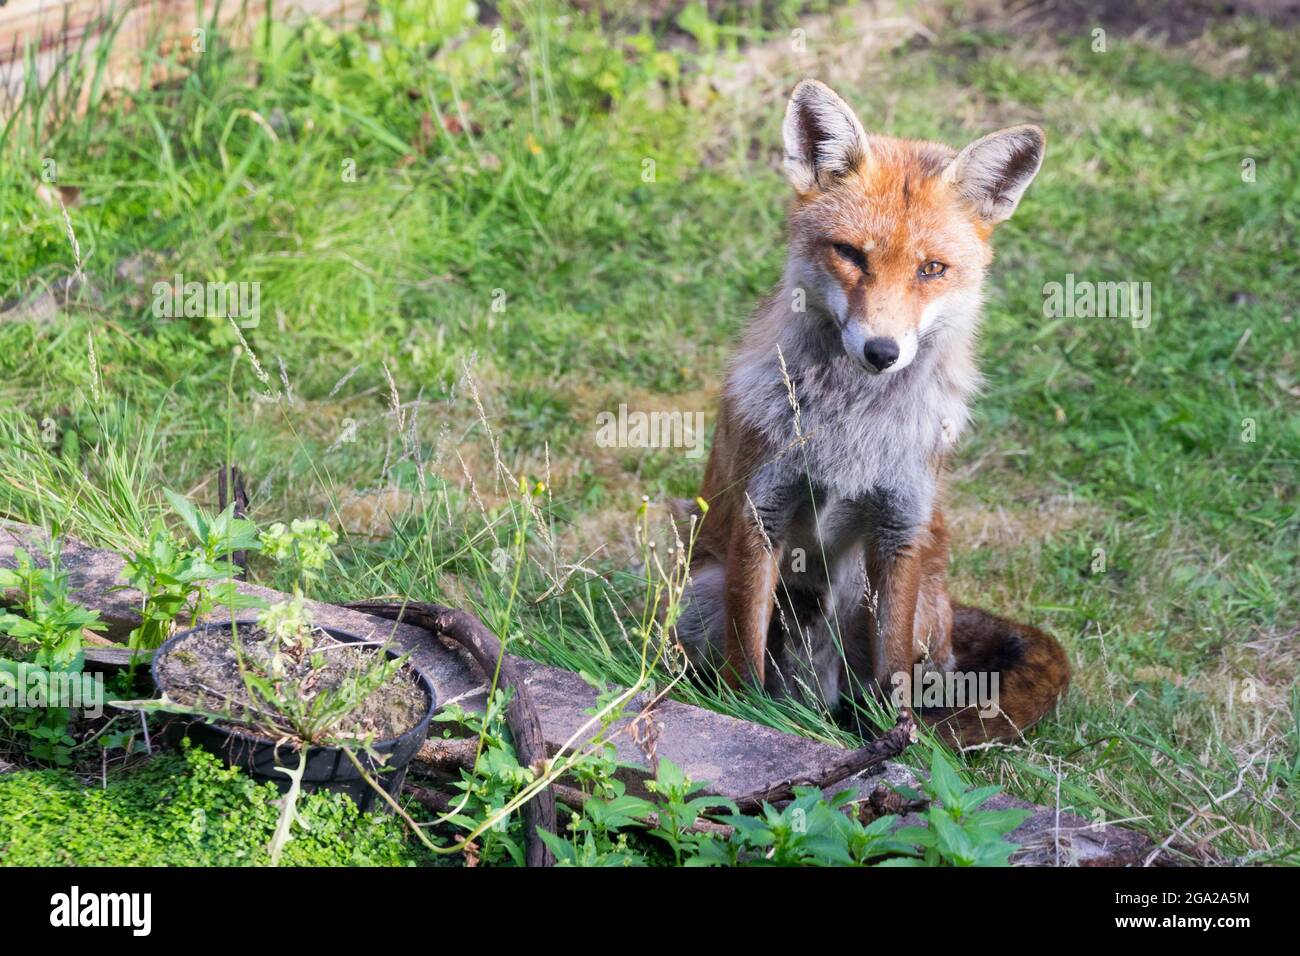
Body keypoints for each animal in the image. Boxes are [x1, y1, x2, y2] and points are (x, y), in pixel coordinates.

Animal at [669, 79, 1069, 746]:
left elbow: (893, 673)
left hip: (897, 598)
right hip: (701, 591)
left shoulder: (898, 530)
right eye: (851, 254)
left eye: (931, 269)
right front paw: (743, 720)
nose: (882, 352)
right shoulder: (762, 514)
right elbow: (744, 658)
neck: (852, 429)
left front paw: (896, 742)